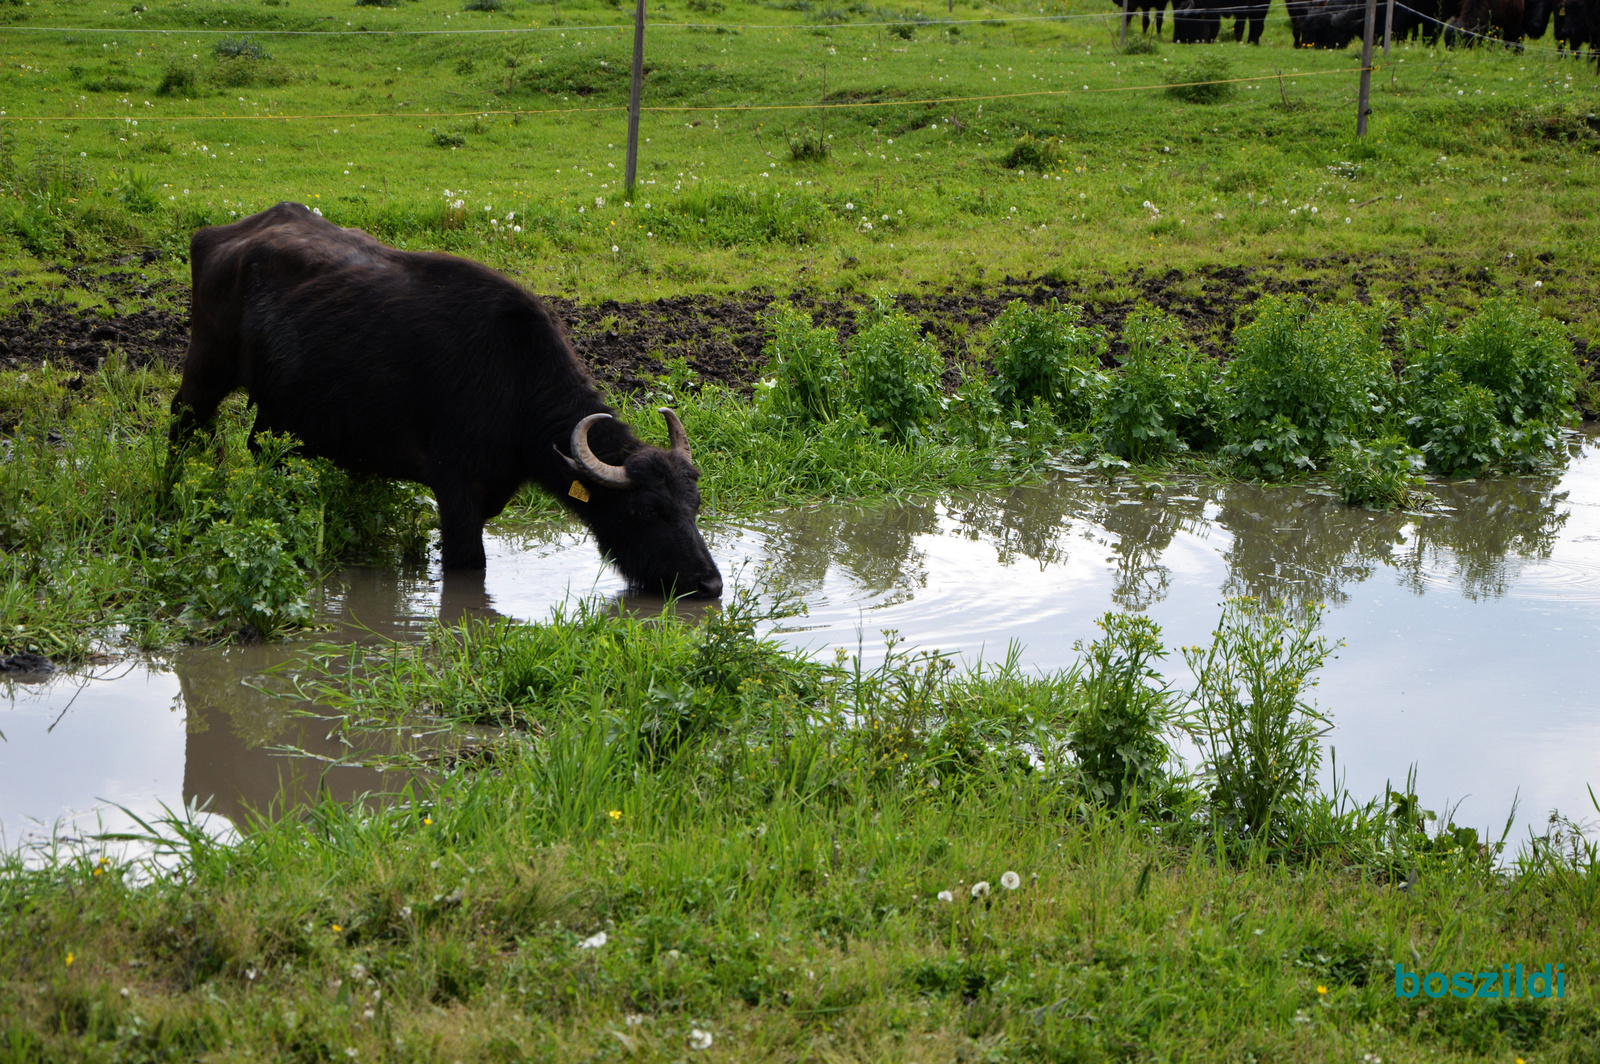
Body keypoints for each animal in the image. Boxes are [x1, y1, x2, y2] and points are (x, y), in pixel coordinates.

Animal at [170, 201, 726, 598]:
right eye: (647, 510)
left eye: (694, 506)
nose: (710, 583)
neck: (512, 381)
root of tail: (219, 235)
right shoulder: (455, 490)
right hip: (205, 370)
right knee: (182, 425)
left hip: (278, 413)